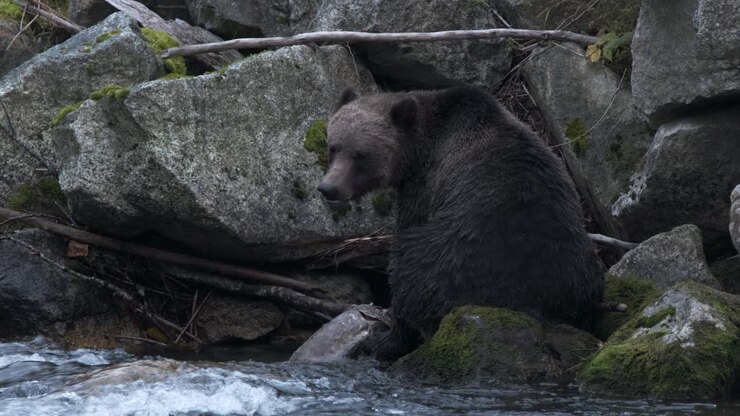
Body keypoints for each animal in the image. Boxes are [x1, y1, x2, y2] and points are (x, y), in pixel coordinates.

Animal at [317, 85, 603, 360]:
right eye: (333, 147)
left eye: (361, 155)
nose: (329, 188)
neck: (419, 149)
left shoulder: (425, 188)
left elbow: (407, 231)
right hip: (578, 272)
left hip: (459, 259)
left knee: (410, 274)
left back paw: (384, 340)